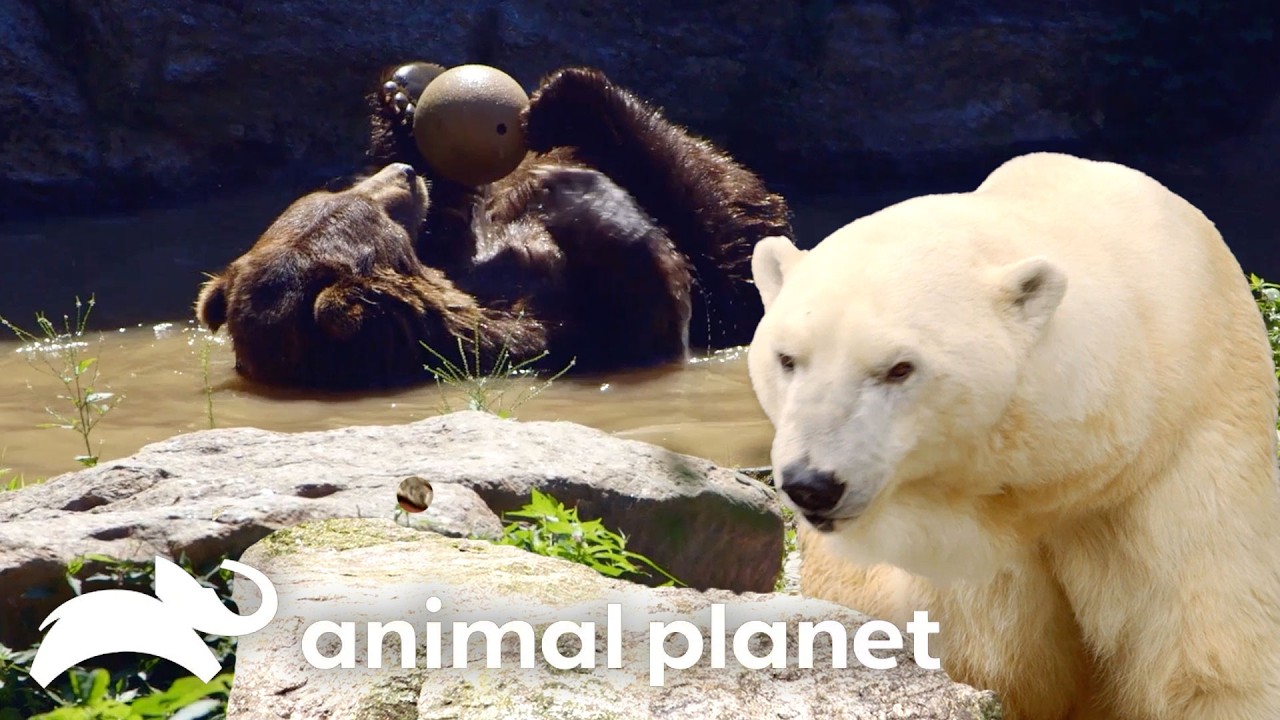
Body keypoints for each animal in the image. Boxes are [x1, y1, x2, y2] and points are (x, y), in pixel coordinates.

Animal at [746, 152, 1280, 719]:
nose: (812, 484)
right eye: (787, 358)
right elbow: (997, 665)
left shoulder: (1188, 449)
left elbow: (1208, 661)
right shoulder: (974, 551)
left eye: (899, 368)